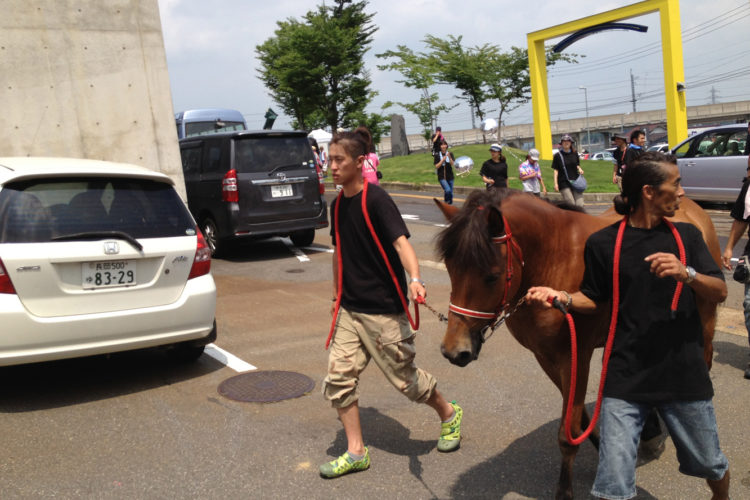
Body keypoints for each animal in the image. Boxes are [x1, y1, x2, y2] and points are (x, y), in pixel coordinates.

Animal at [434, 188, 724, 500]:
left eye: (492, 276)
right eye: (450, 268)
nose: (454, 350)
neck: (554, 259)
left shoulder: (576, 354)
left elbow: (567, 431)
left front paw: (565, 490)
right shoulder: (547, 356)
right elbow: (579, 417)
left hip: (705, 316)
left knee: (704, 358)